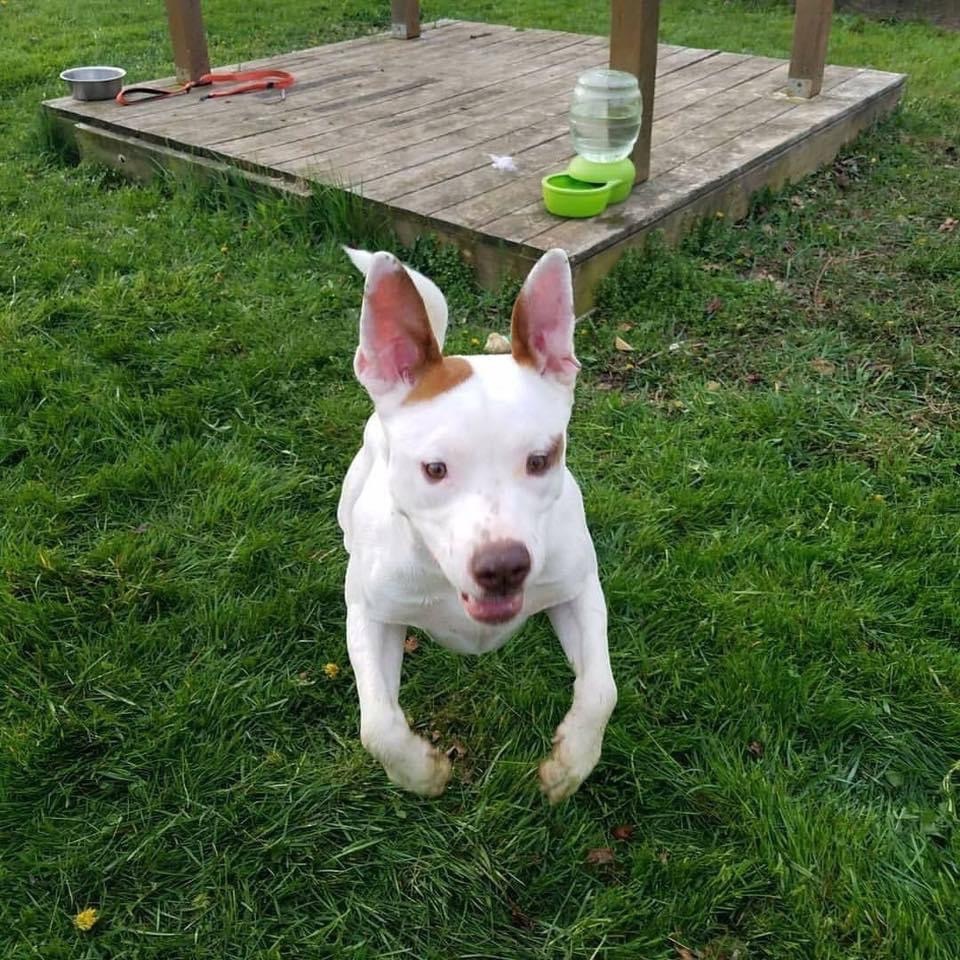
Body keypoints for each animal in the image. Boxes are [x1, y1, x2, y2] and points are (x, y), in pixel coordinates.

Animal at [342, 248, 620, 804]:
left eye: (540, 460)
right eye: (434, 469)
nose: (504, 567)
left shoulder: (579, 590)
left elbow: (602, 689)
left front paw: (570, 765)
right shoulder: (368, 613)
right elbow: (377, 724)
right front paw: (420, 774)